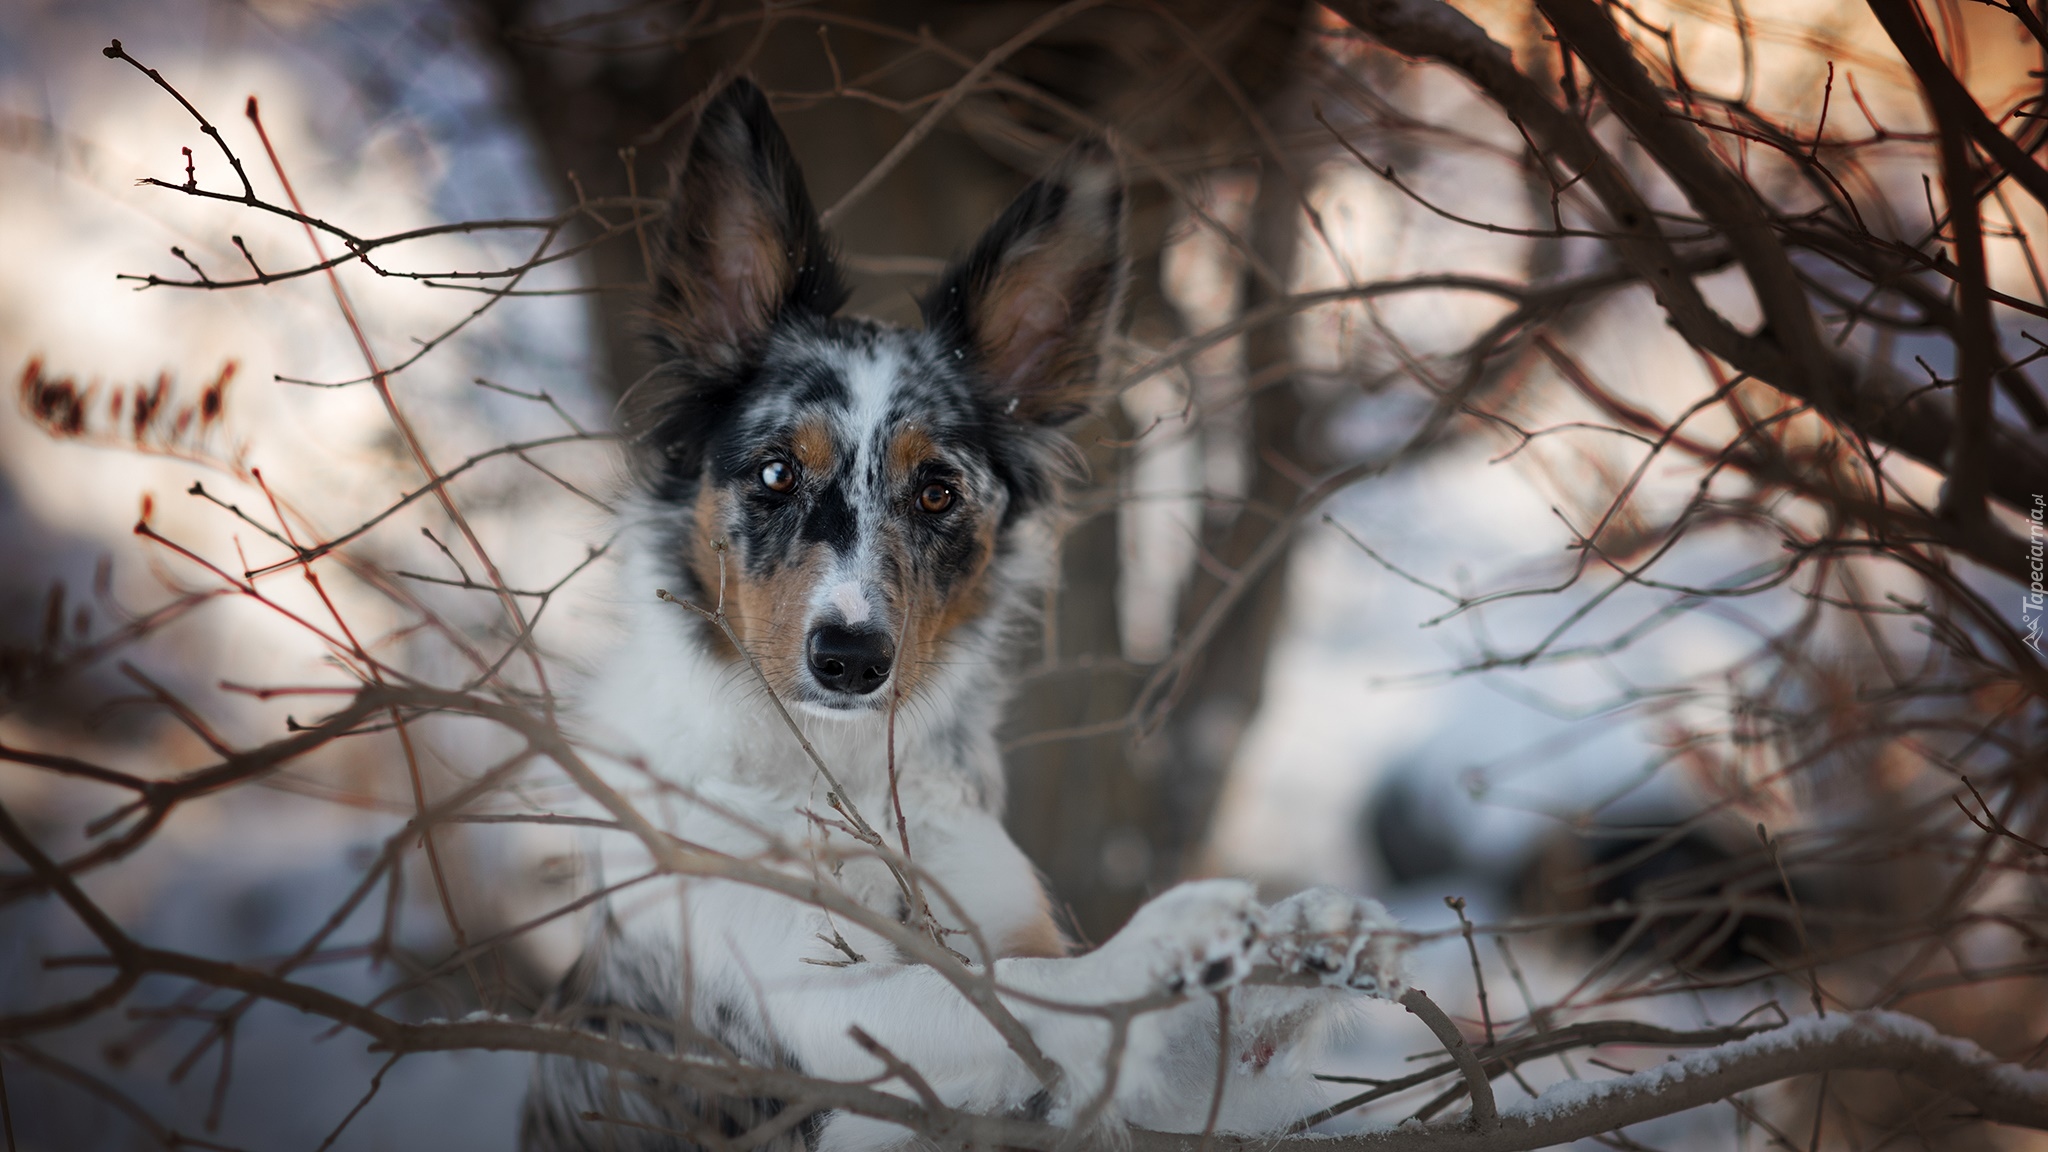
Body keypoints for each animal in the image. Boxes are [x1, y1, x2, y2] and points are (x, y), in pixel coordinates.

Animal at [520, 78, 1409, 1147]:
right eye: (775, 472)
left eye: (938, 492)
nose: (850, 658)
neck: (845, 778)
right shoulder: (816, 1011)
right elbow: (1024, 989)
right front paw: (1162, 942)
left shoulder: (1074, 1059)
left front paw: (1298, 938)